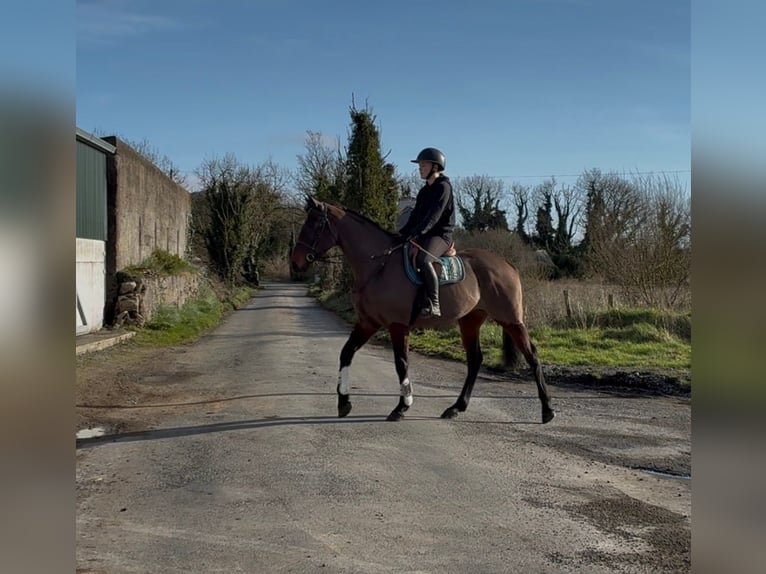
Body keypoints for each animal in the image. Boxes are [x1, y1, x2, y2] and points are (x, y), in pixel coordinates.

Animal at [290, 196, 555, 424]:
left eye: (315, 224)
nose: (296, 262)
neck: (379, 265)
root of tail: (507, 263)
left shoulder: (397, 325)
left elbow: (401, 363)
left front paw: (402, 406)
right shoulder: (367, 323)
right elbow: (346, 353)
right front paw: (344, 403)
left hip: (510, 319)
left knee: (532, 355)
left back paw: (547, 410)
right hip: (470, 320)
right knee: (475, 360)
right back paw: (456, 407)